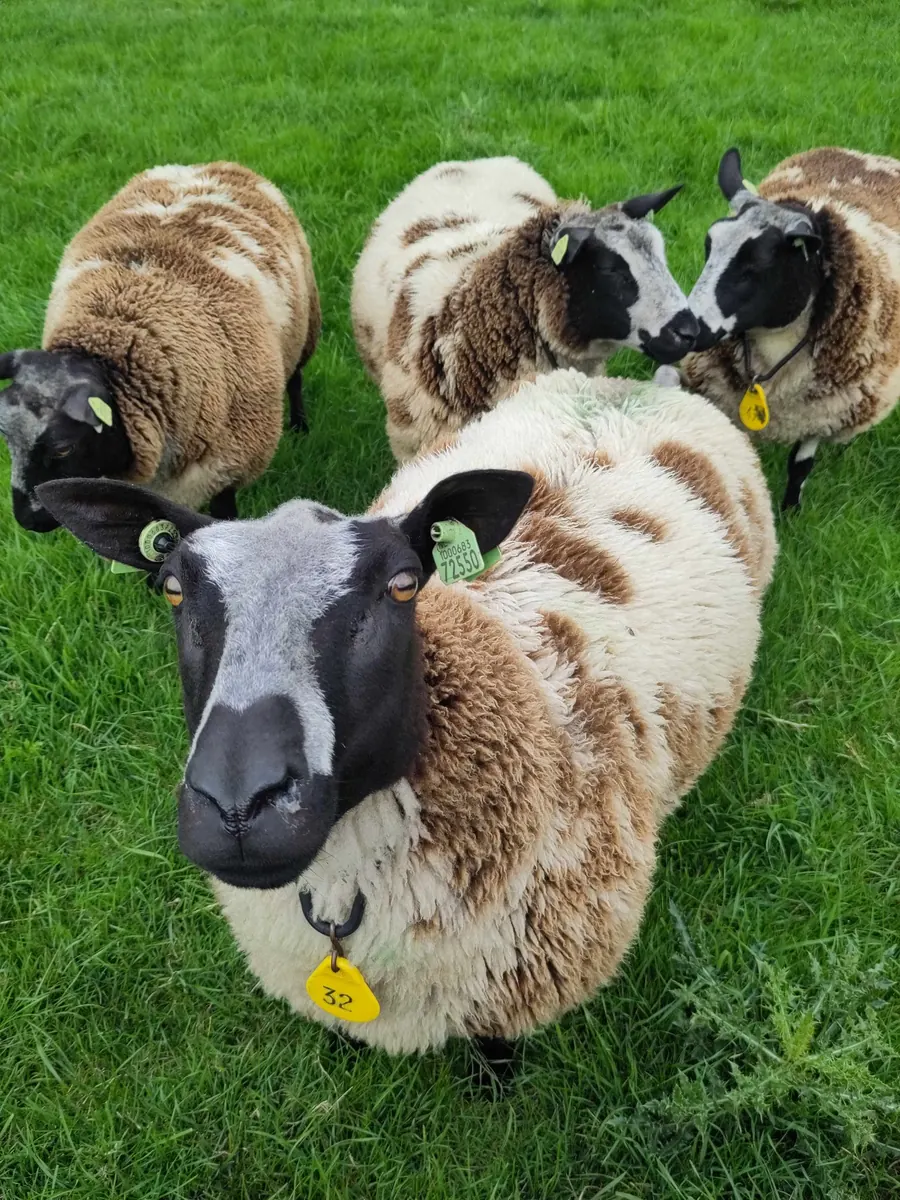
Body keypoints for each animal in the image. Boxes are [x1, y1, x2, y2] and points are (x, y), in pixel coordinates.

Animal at [0, 161, 320, 531]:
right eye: (6, 438)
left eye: (63, 449)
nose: (27, 521)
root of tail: (216, 164)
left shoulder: (228, 465)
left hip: (305, 324)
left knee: (295, 377)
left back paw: (300, 426)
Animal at [684, 146, 900, 509]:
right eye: (708, 248)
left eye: (754, 268)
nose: (687, 331)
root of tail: (867, 155)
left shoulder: (821, 414)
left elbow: (800, 465)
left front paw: (791, 511)